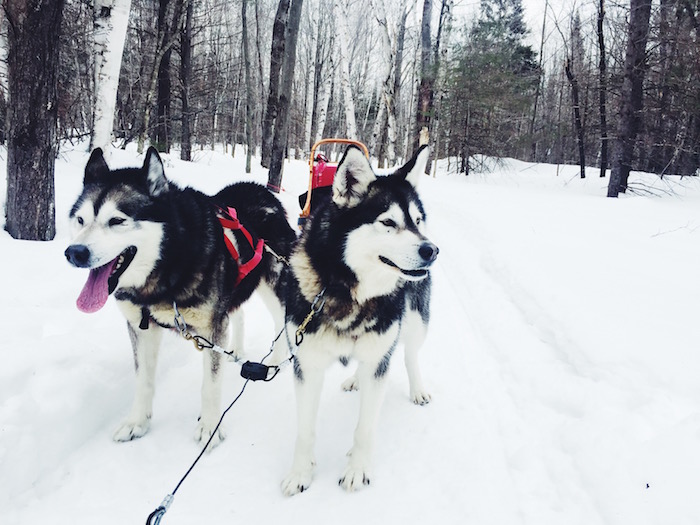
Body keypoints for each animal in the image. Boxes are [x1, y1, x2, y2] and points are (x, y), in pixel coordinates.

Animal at [63, 148, 296, 446]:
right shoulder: (141, 327)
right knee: (238, 312)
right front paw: (137, 422)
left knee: (281, 321)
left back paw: (277, 360)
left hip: (274, 282)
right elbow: (143, 380)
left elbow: (210, 384)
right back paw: (236, 350)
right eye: (80, 219)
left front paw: (210, 426)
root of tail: (261, 191)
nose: (74, 252)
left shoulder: (211, 328)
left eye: (116, 220)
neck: (166, 267)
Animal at [278, 145, 438, 494]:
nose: (432, 250)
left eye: (418, 221)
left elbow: (365, 428)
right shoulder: (307, 364)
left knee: (410, 354)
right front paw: (300, 473)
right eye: (388, 222)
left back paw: (418, 388)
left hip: (416, 321)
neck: (348, 290)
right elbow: (305, 430)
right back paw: (355, 379)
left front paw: (357, 469)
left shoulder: (378, 358)